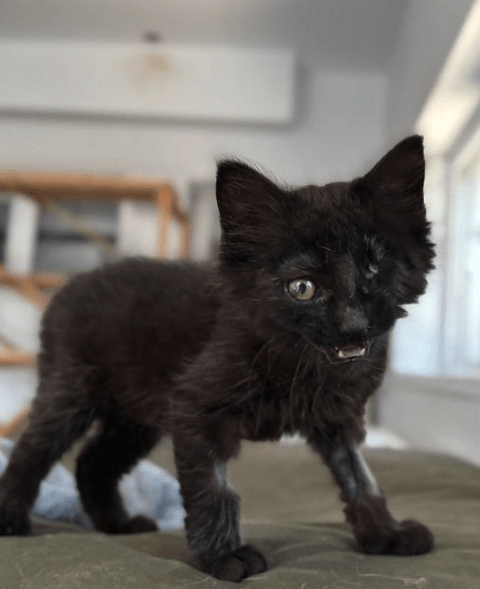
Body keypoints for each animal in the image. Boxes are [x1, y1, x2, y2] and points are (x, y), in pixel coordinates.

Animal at [0, 136, 436, 580]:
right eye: (302, 287)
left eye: (374, 270)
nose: (353, 326)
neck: (302, 363)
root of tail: (73, 283)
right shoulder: (195, 406)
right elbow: (214, 488)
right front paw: (224, 557)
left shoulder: (335, 418)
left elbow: (359, 476)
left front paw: (385, 534)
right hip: (71, 392)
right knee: (30, 451)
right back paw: (12, 520)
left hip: (137, 416)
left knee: (93, 462)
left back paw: (117, 524)